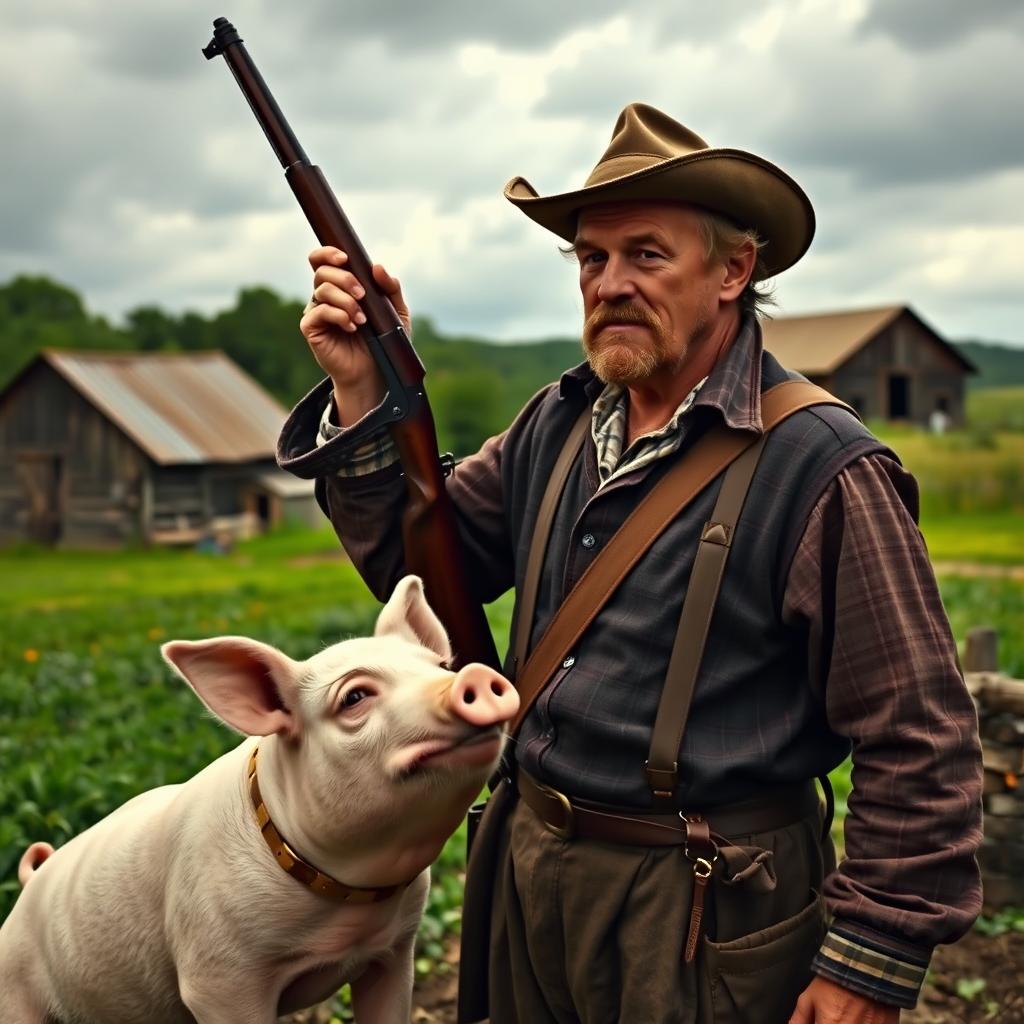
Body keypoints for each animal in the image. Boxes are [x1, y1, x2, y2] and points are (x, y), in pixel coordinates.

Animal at [0, 577, 516, 1024]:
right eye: (354, 697)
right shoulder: (218, 979)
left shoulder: (394, 950)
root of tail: (31, 881)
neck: (348, 905)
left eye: (441, 668)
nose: (474, 675)